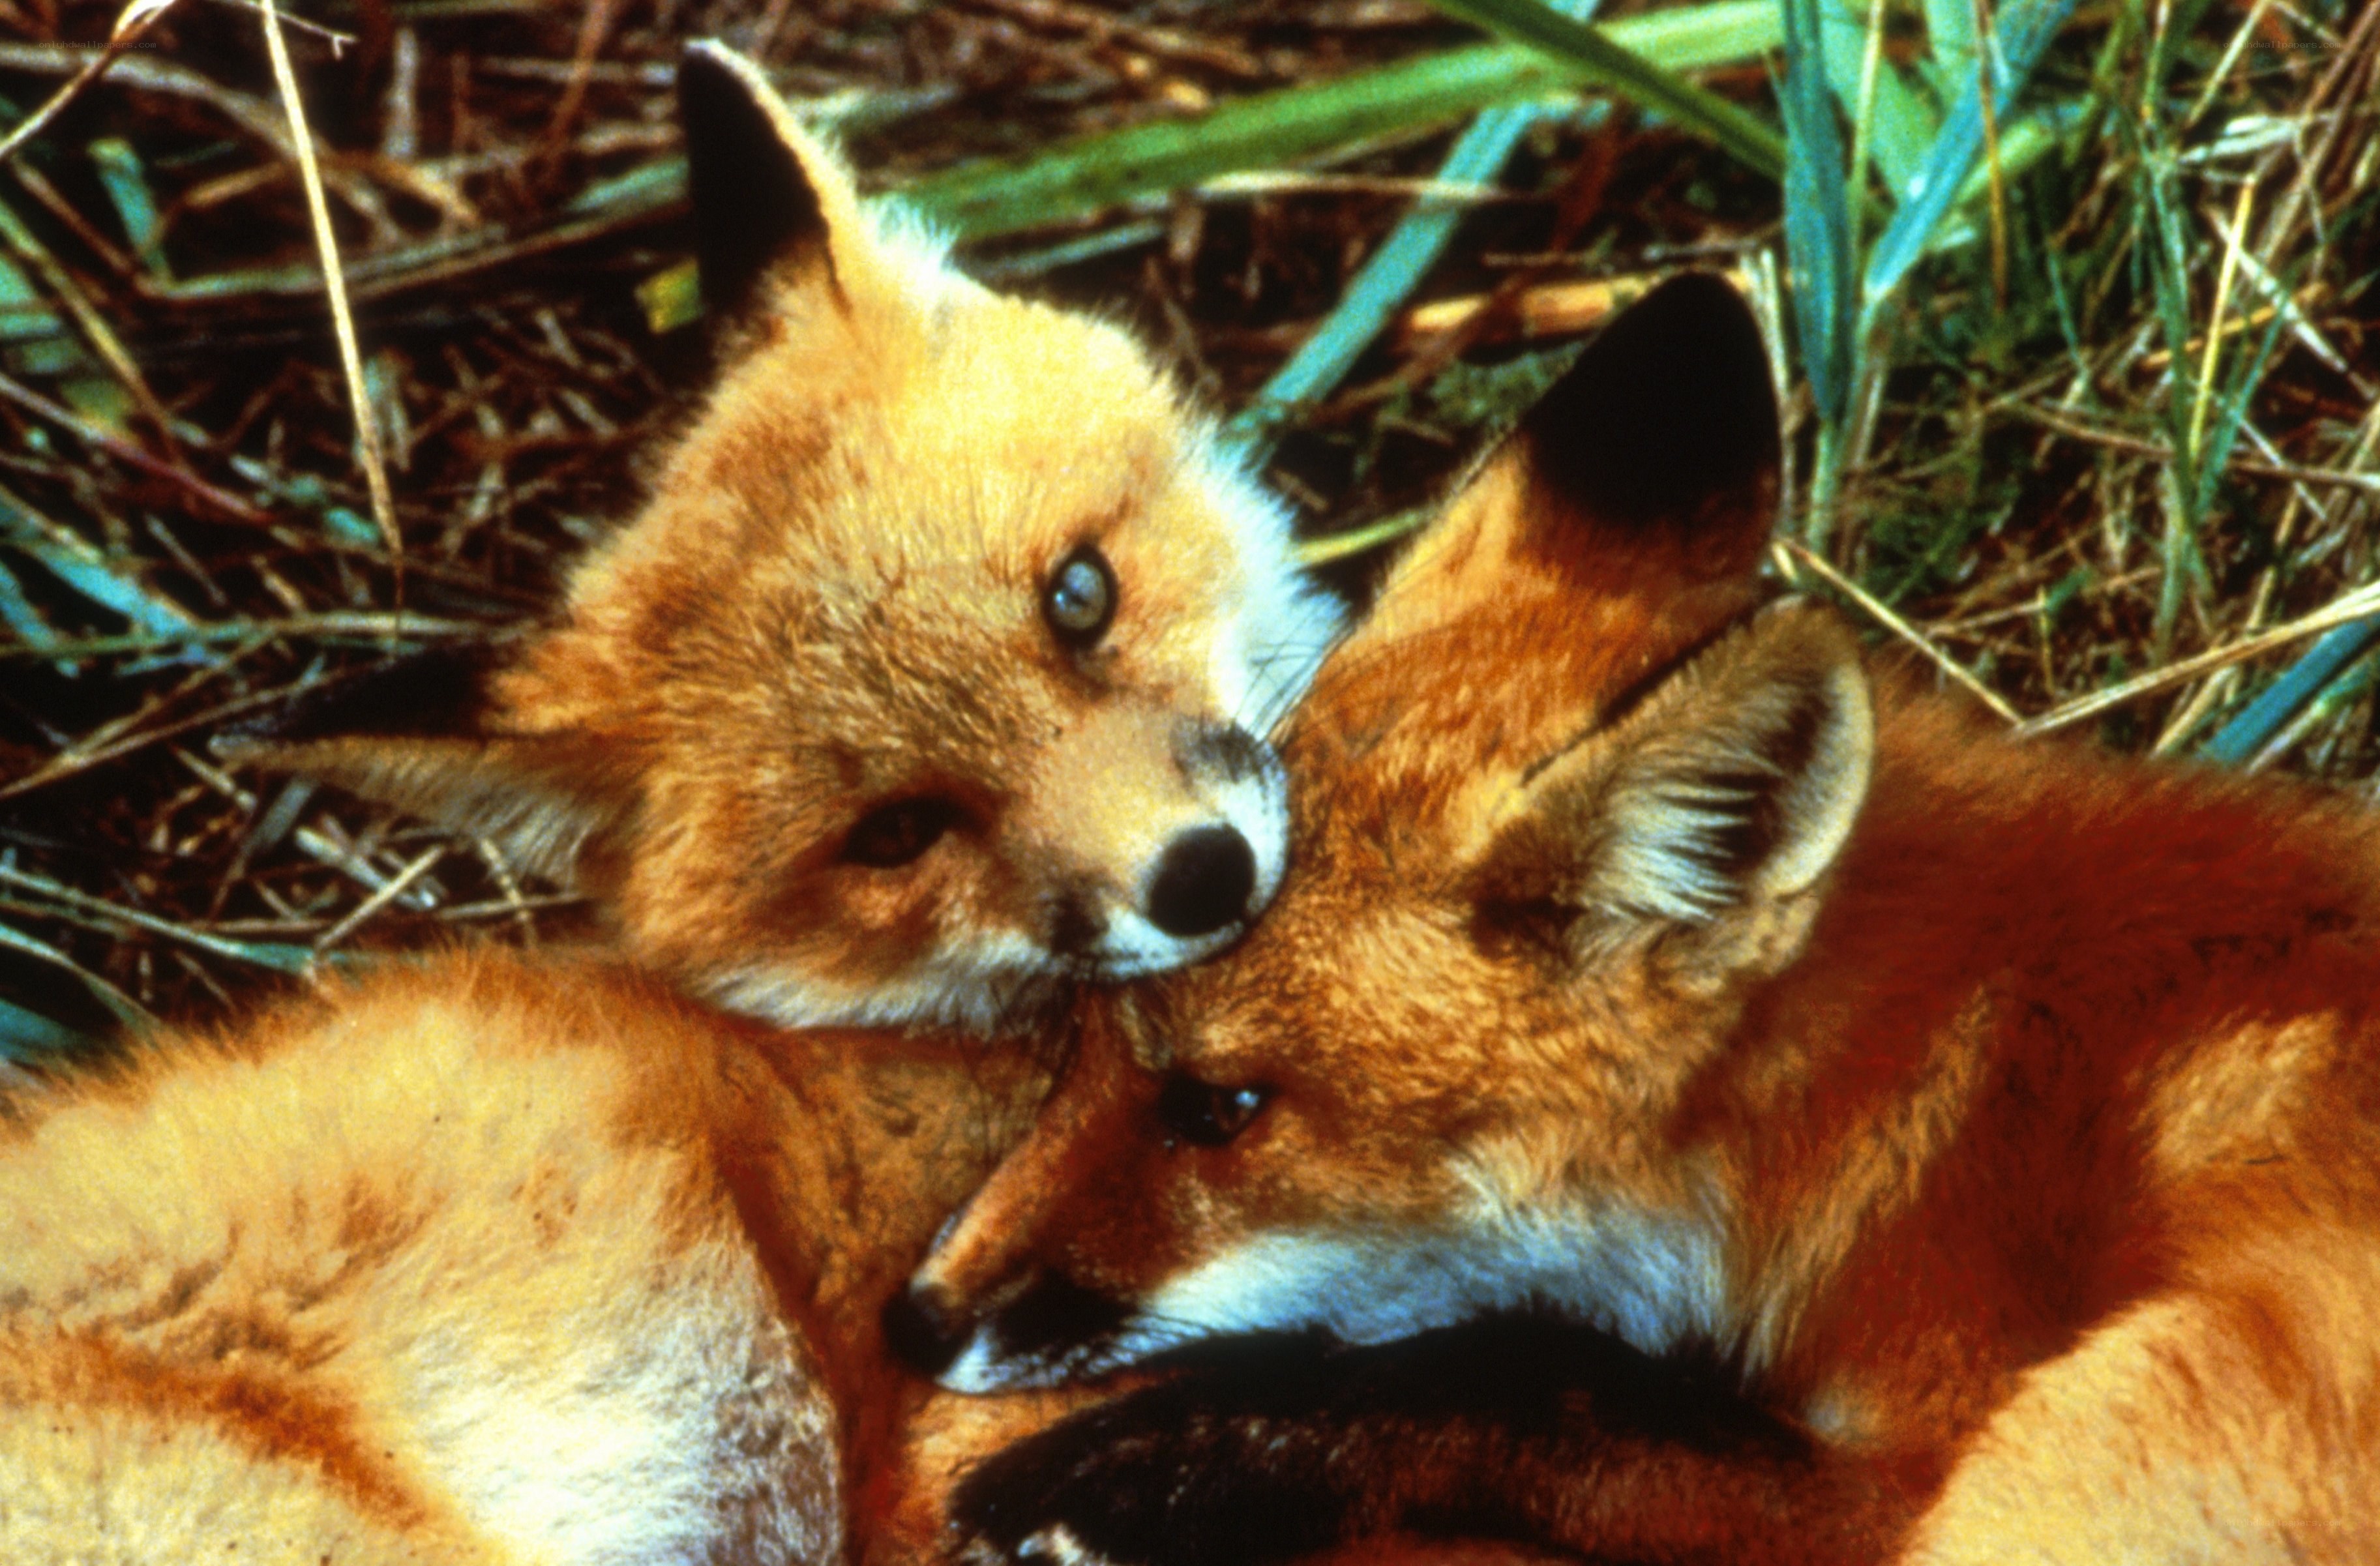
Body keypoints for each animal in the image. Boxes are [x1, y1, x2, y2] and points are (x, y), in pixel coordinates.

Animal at [893, 272, 2380, 1565]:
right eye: (1084, 1039)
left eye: (1218, 1110)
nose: (916, 1321)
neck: (1954, 1070)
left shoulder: (1895, 1482)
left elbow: (1533, 1375)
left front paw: (1166, 1464)